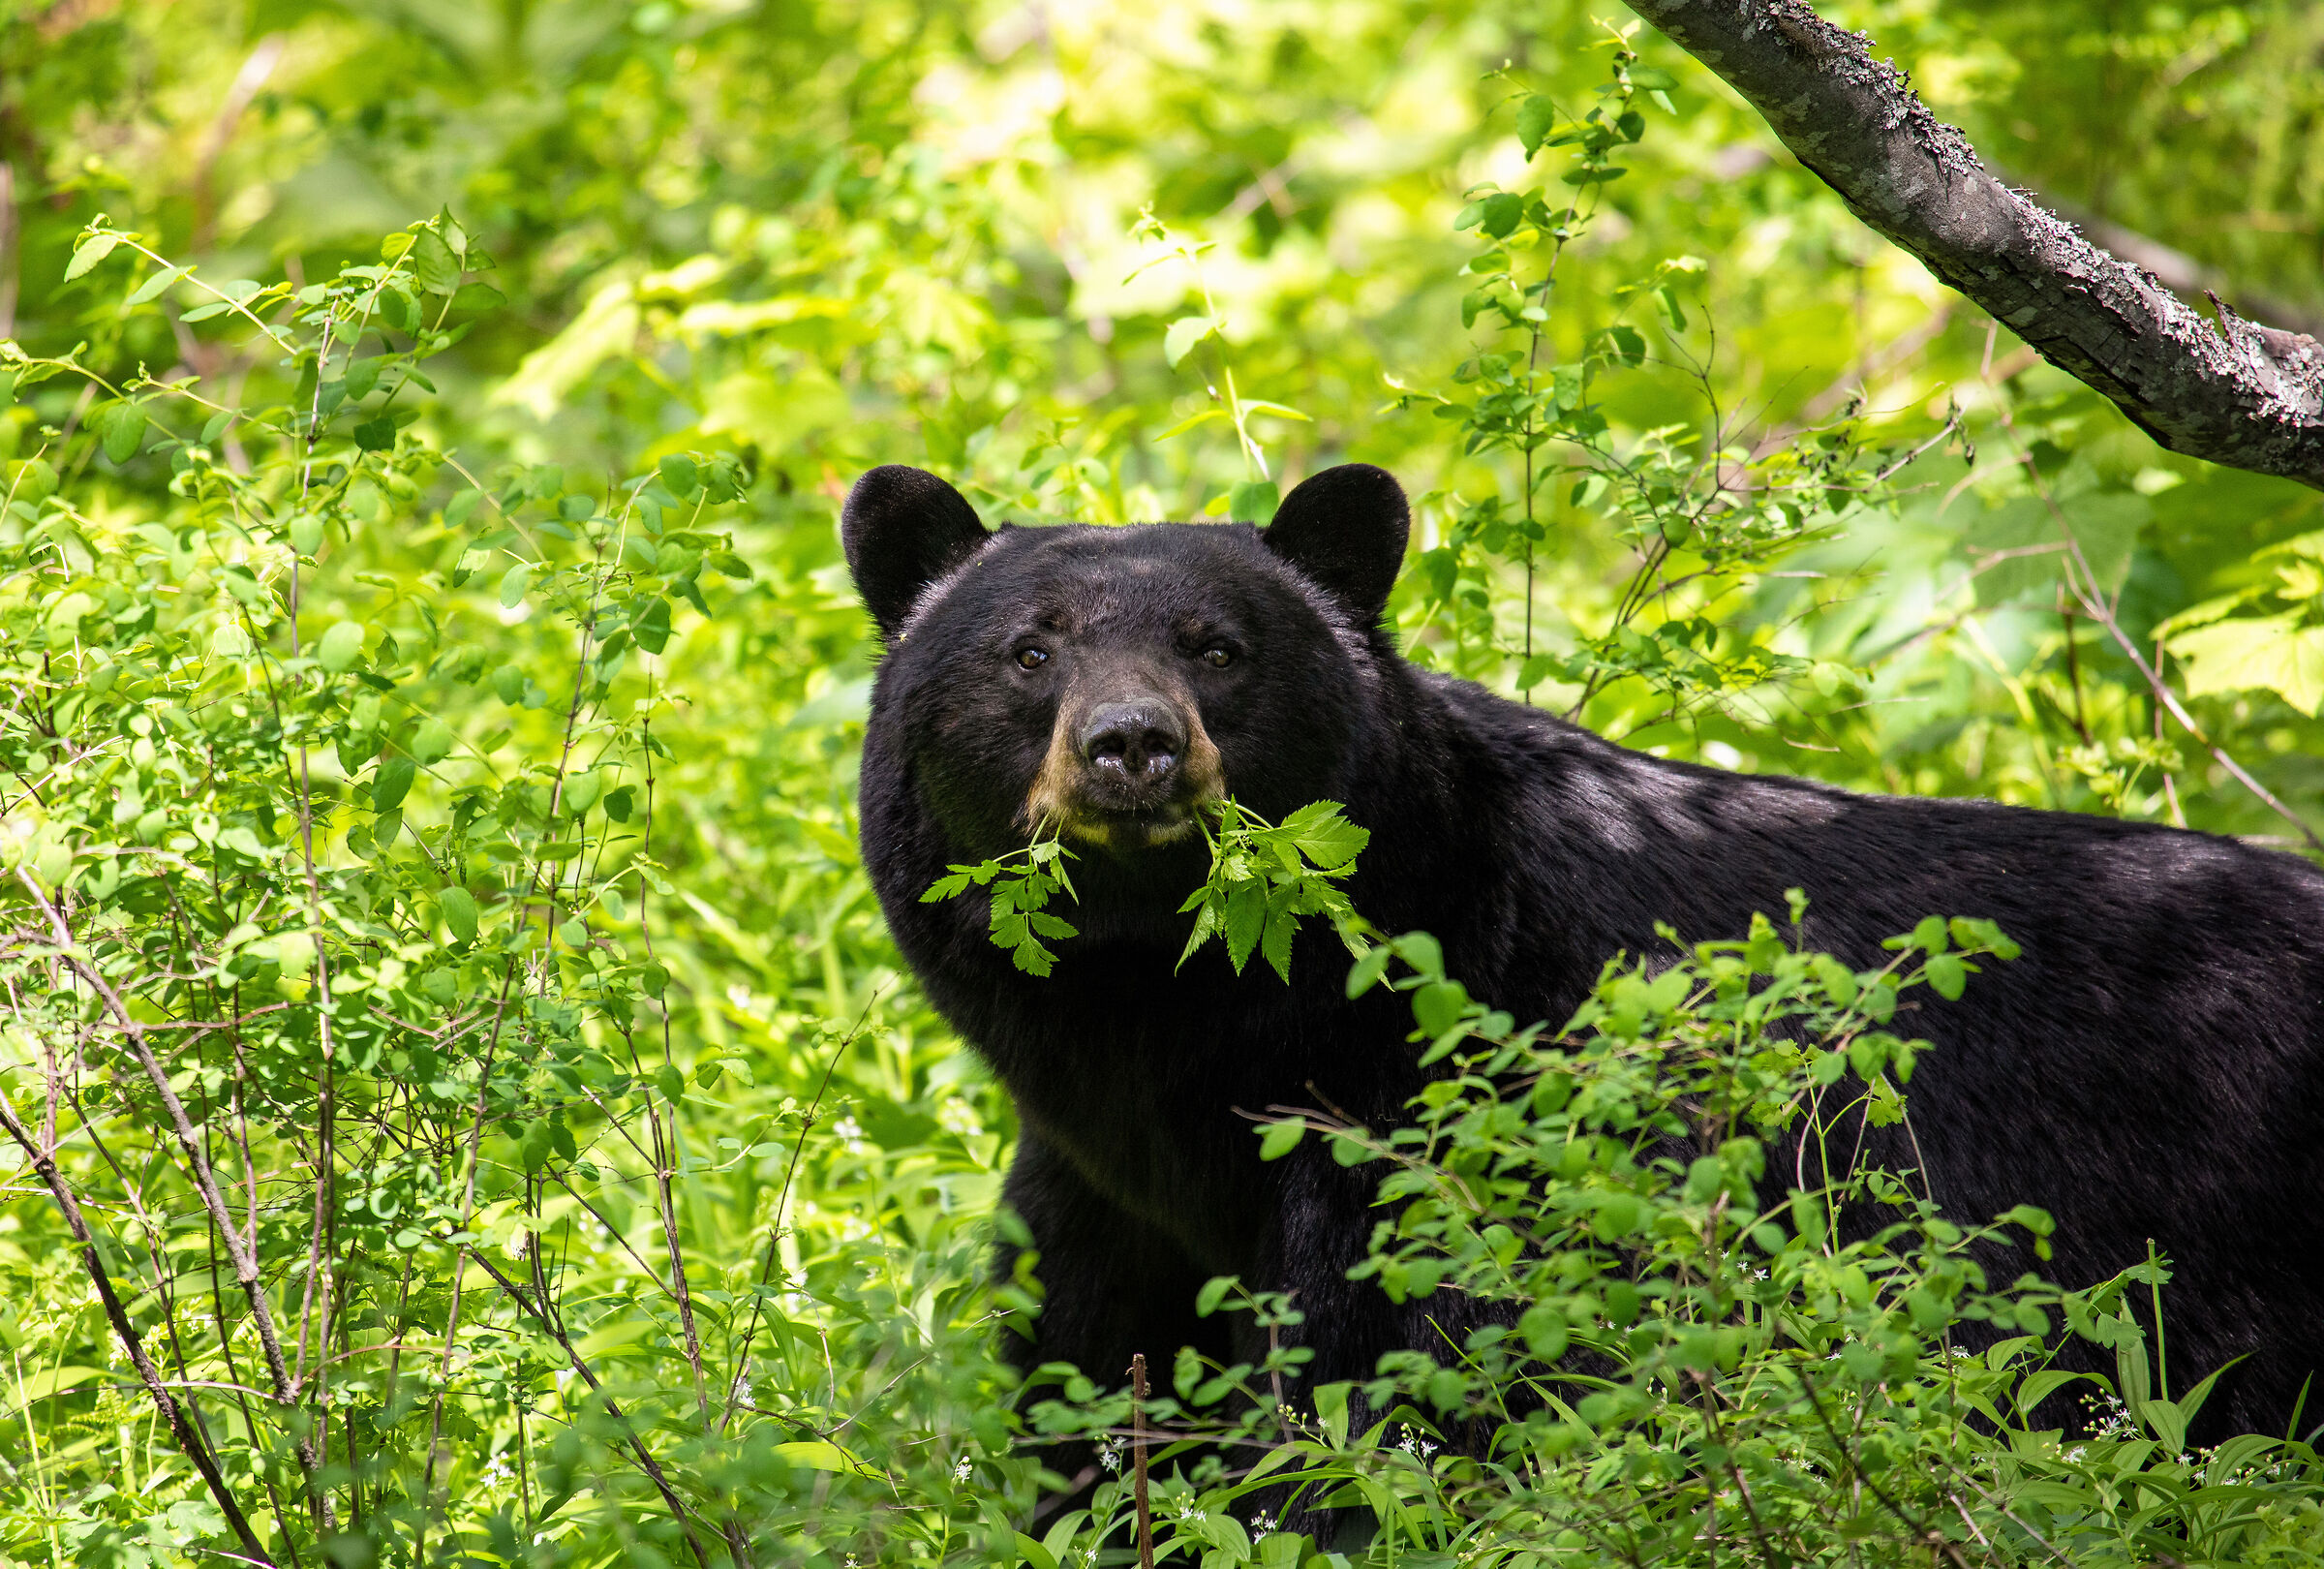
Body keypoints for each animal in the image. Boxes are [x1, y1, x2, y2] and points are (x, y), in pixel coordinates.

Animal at [842, 459, 2324, 1481]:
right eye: (1030, 649)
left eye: (1219, 647)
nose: (1133, 744)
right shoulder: (1098, 1202)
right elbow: (1085, 1399)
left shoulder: (1461, 1148)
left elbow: (1406, 1400)